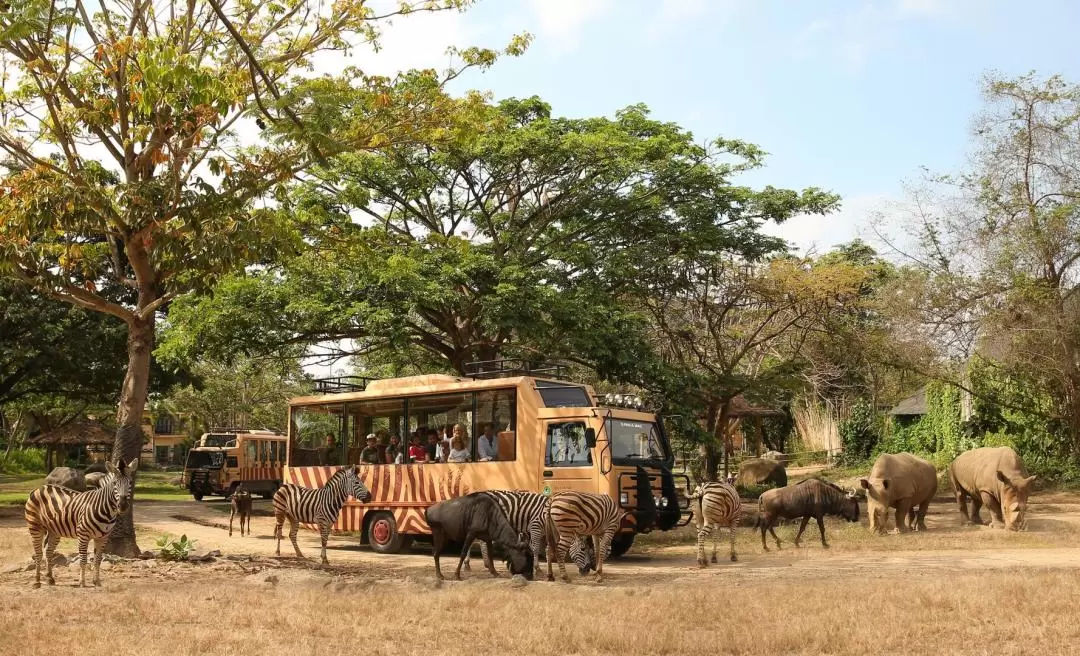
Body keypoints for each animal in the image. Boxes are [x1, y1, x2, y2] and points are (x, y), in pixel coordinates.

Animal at [24, 456, 137, 592]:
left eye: (130, 482)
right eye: (115, 483)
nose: (123, 506)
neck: (106, 510)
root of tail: (39, 488)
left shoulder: (103, 537)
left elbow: (98, 560)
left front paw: (96, 581)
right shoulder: (83, 535)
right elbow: (83, 560)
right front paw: (82, 582)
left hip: (54, 530)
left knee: (49, 551)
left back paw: (50, 578)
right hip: (35, 527)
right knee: (38, 554)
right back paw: (37, 581)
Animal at [457, 490, 591, 579]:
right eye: (583, 549)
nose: (587, 570)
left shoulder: (540, 532)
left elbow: (544, 549)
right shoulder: (535, 526)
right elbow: (535, 549)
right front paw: (538, 569)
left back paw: (472, 565)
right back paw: (483, 565)